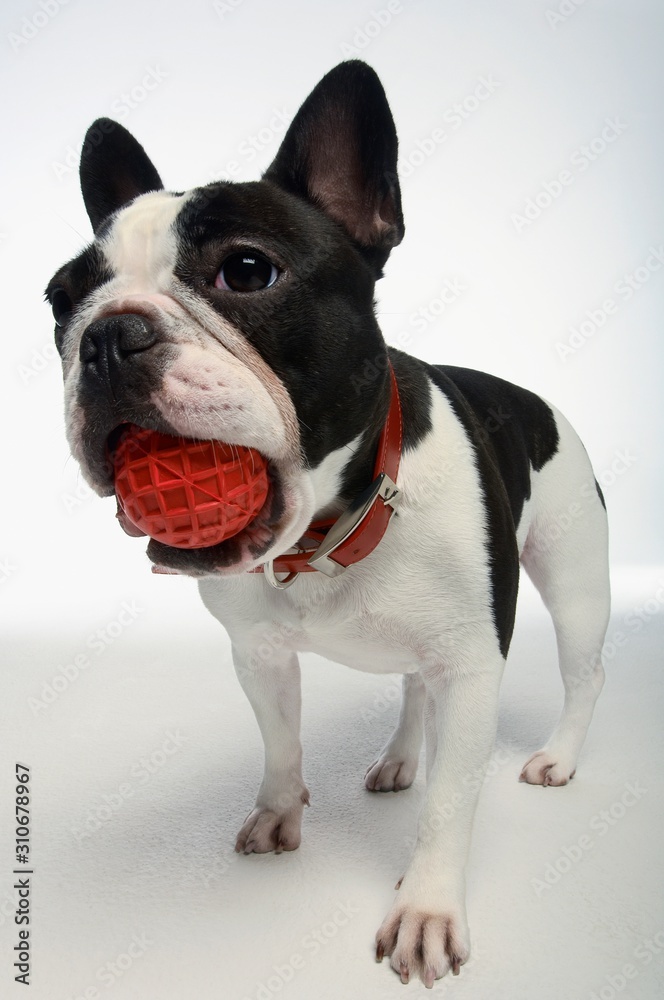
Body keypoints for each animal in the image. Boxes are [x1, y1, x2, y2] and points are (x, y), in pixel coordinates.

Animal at [44, 60, 608, 984]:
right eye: (60, 300)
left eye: (246, 271)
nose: (105, 335)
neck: (327, 537)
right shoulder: (260, 655)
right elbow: (281, 744)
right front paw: (279, 814)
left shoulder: (472, 668)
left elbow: (451, 803)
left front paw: (425, 910)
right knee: (412, 688)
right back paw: (400, 757)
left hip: (575, 583)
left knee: (583, 673)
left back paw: (557, 757)